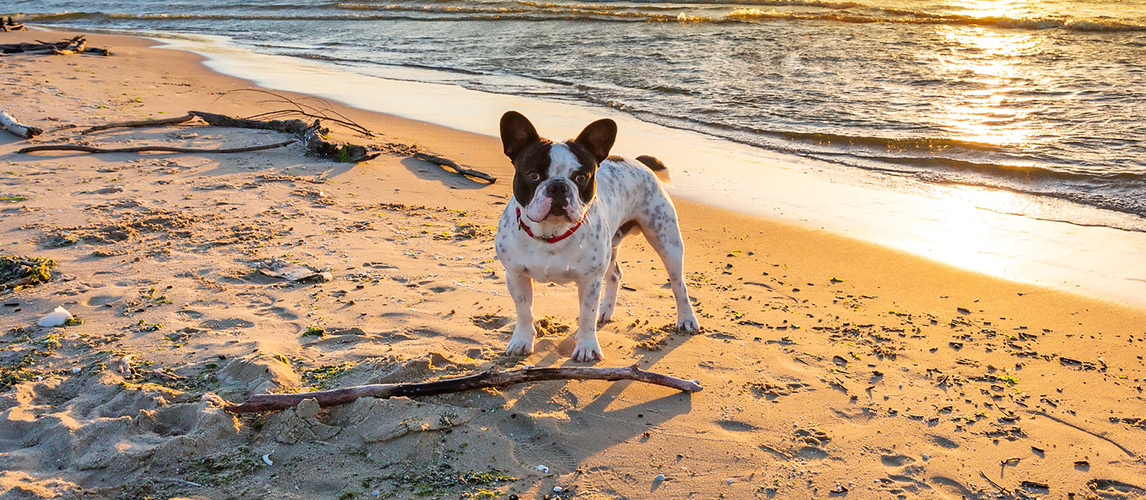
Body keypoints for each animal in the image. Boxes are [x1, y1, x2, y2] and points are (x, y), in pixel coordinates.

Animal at [492, 111, 696, 362]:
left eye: (581, 178)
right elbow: (523, 311)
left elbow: (586, 315)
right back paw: (606, 310)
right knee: (615, 275)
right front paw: (521, 341)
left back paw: (686, 319)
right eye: (533, 175)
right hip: (614, 245)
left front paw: (587, 347)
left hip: (666, 240)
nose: (558, 186)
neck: (551, 234)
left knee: (678, 284)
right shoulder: (516, 275)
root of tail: (639, 162)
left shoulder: (590, 280)